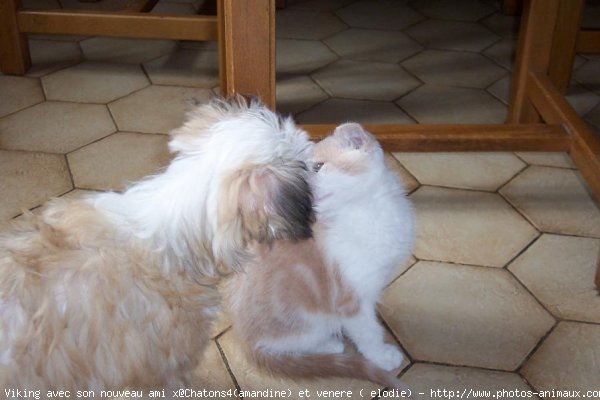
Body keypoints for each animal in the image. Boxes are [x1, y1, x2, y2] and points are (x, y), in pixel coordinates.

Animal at [223, 122, 414, 390]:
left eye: (318, 167)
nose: (302, 196)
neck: (366, 211)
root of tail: (247, 343)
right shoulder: (349, 300)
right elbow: (367, 331)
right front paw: (381, 356)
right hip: (309, 319)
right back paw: (328, 344)